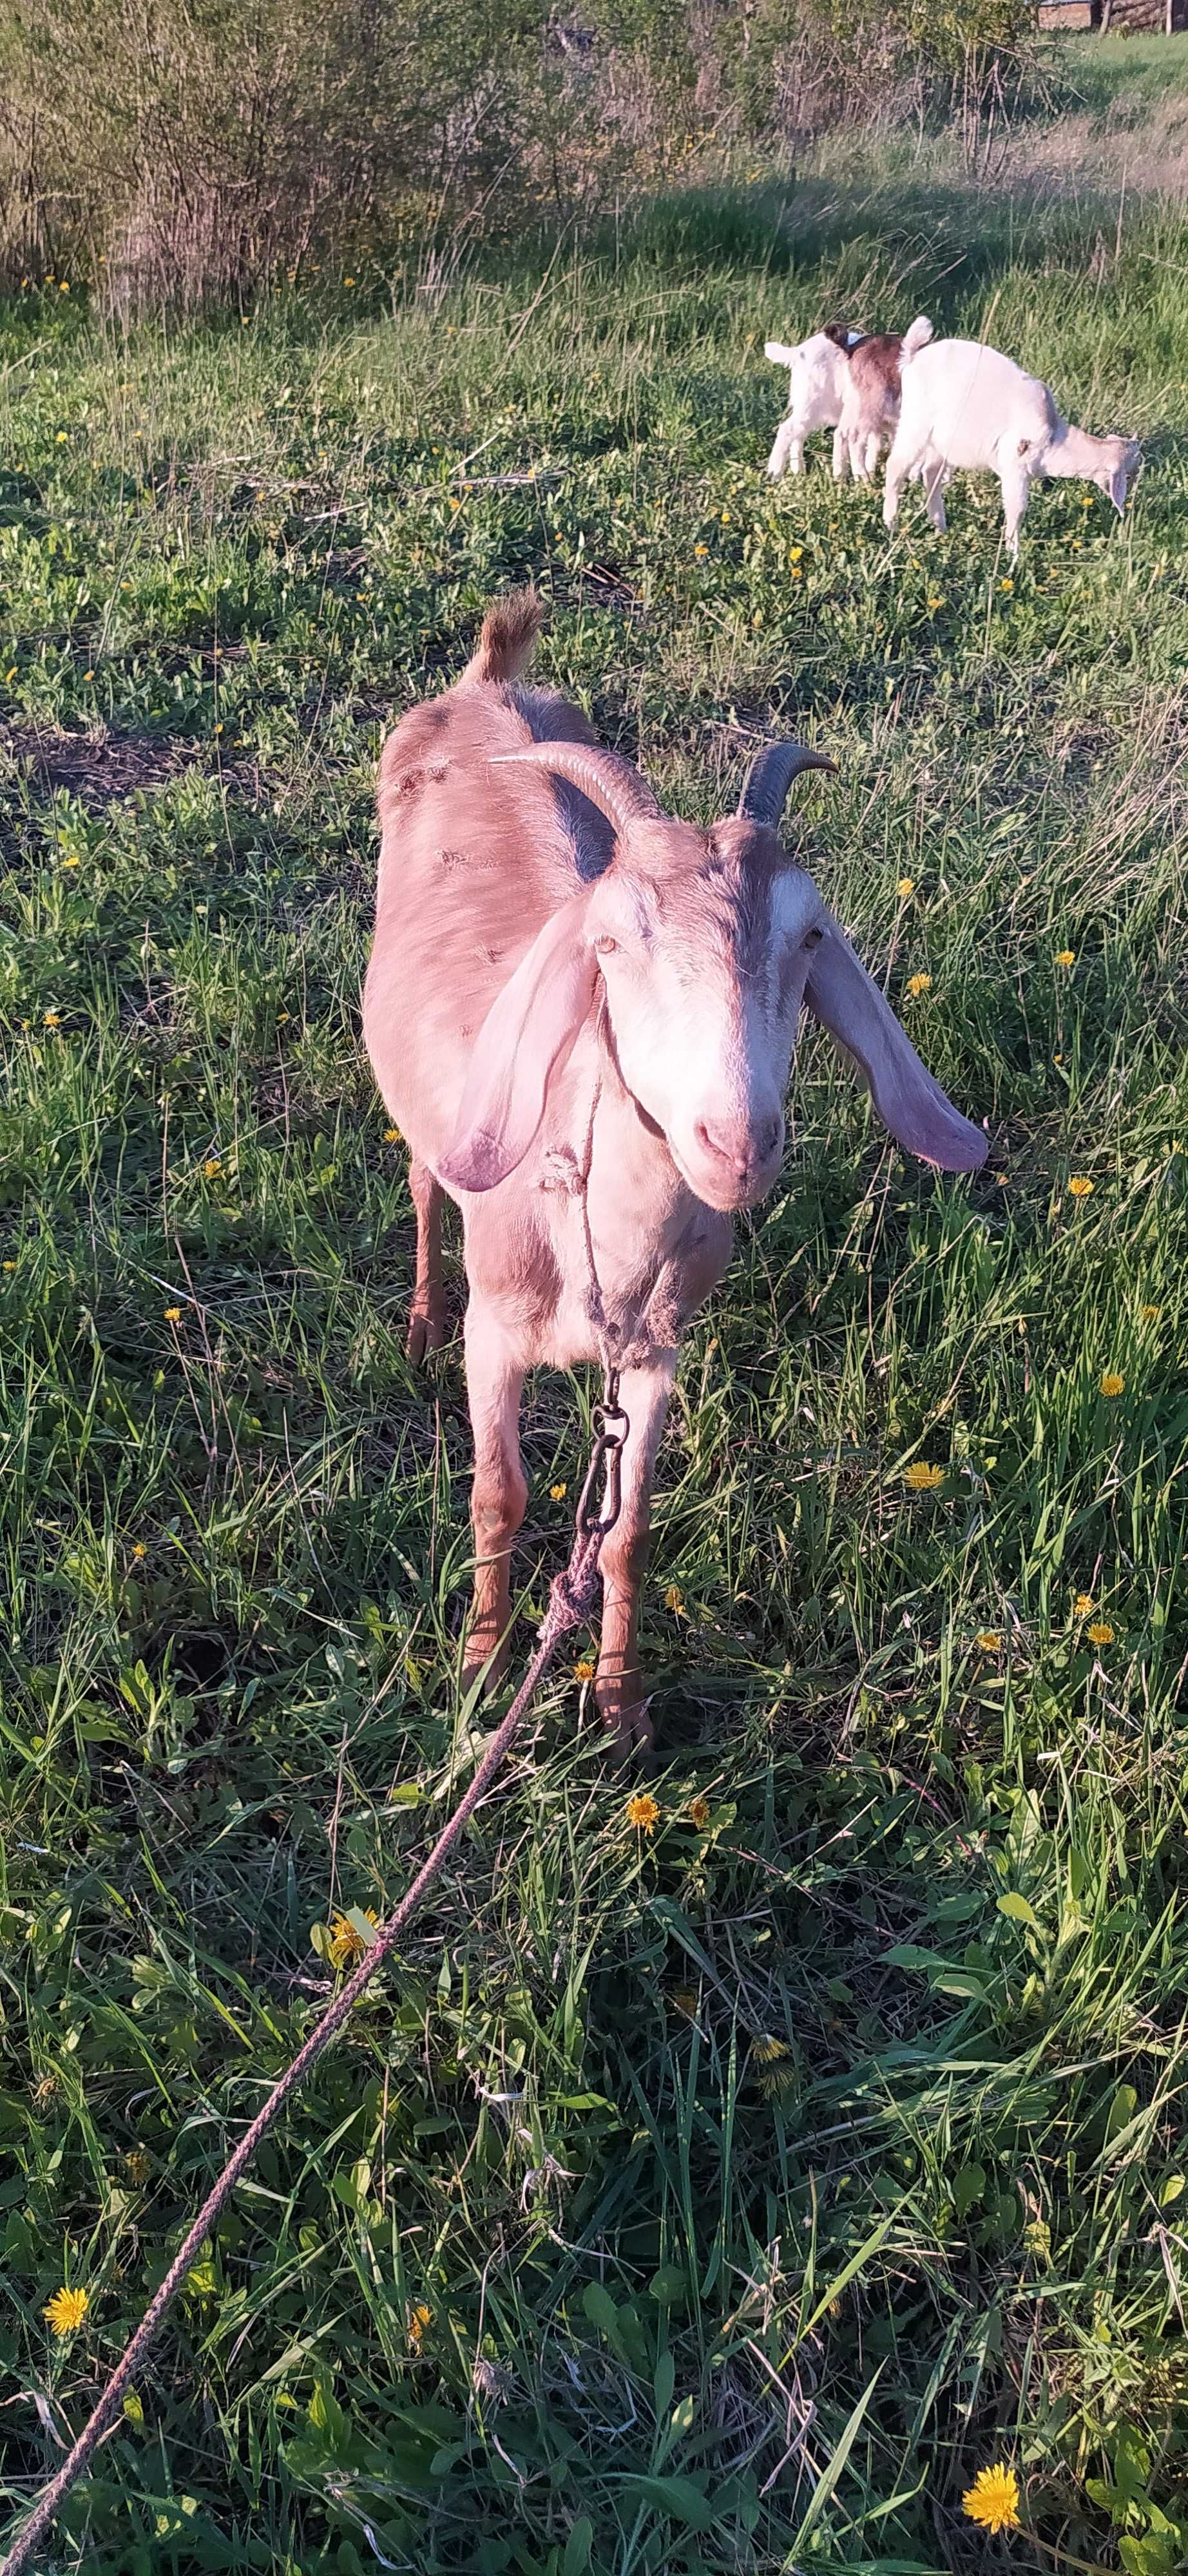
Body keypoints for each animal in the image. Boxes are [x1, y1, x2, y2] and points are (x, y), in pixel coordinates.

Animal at [366, 590, 984, 1752]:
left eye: (809, 938)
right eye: (609, 945)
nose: (735, 1144)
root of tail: (487, 682)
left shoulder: (656, 1354)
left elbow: (628, 1531)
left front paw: (620, 1706)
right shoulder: (496, 1335)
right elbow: (498, 1496)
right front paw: (478, 1672)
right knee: (426, 1176)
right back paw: (418, 1317)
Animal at [819, 316, 933, 484]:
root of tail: (851, 349)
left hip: (854, 403)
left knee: (841, 433)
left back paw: (840, 476)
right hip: (873, 402)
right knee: (855, 438)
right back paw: (863, 478)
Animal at [881, 332, 1139, 559]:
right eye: (1129, 473)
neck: (1055, 439)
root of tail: (913, 357)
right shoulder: (1015, 467)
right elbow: (1018, 509)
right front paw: (1014, 554)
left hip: (942, 440)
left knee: (931, 473)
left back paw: (940, 527)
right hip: (916, 422)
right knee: (895, 466)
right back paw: (891, 525)